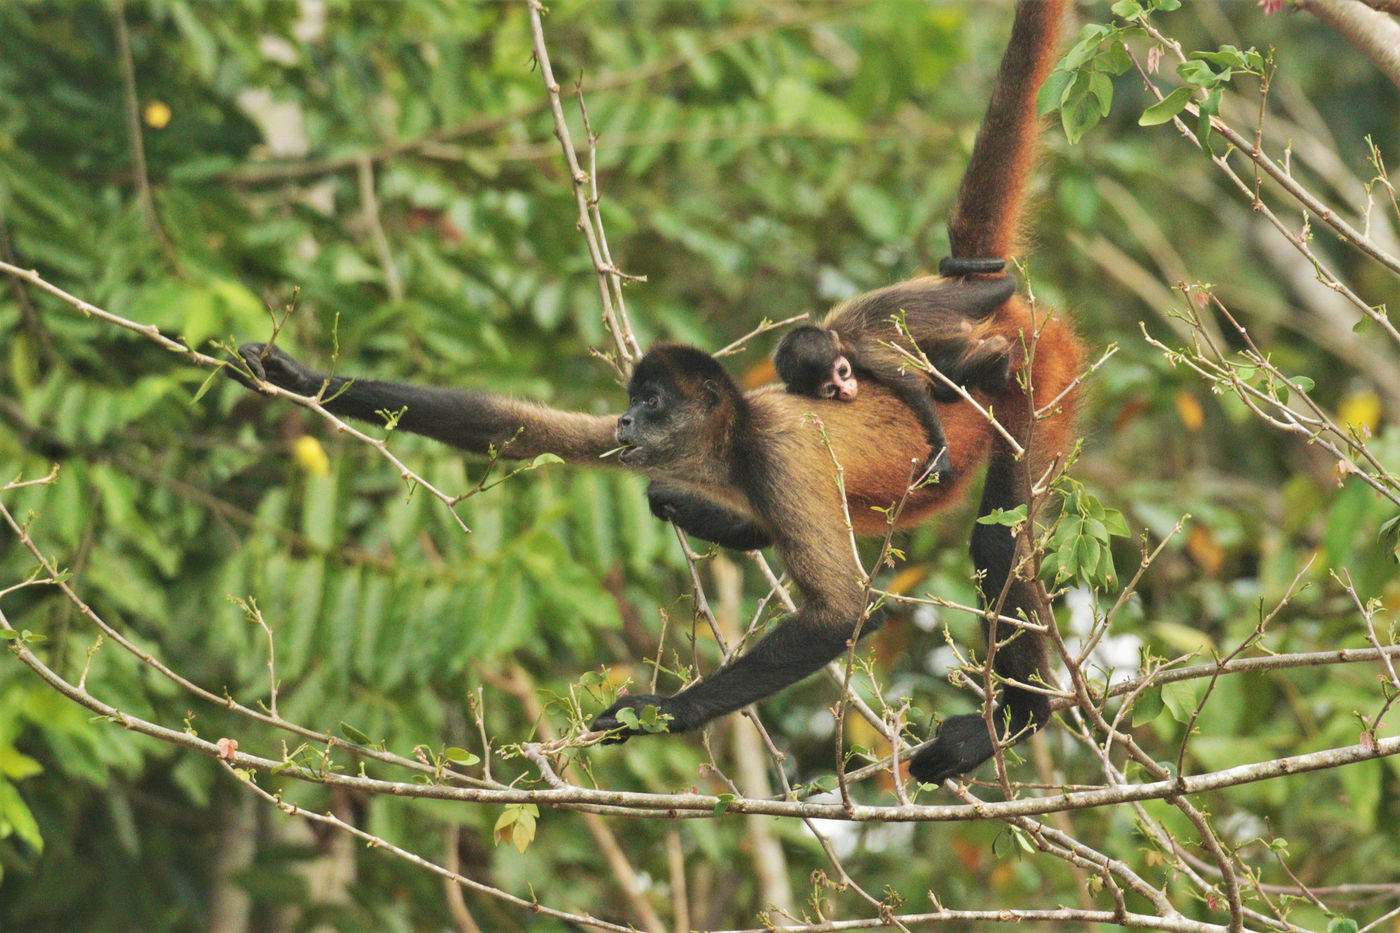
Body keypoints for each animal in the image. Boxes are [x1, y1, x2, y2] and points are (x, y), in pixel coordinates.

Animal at [235, 0, 1075, 784]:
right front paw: (300, 375)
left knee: (998, 540)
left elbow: (845, 613)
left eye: (656, 401)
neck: (732, 439)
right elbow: (514, 429)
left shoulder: (775, 456)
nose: (627, 419)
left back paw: (1015, 722)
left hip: (1038, 372)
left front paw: (659, 713)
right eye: (634, 401)